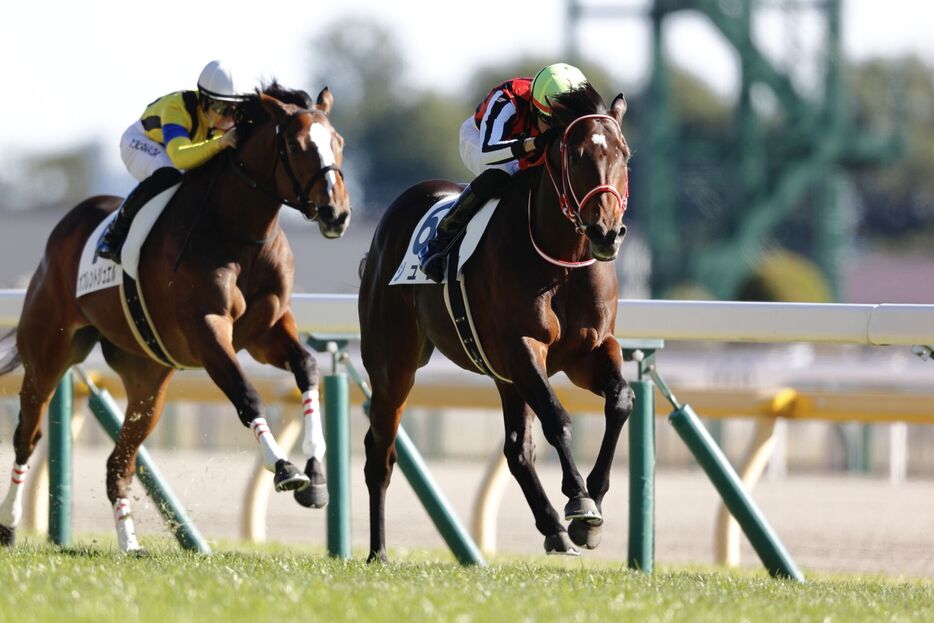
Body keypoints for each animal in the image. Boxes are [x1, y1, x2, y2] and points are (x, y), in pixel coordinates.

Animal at [0, 81, 352, 552]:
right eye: (296, 146)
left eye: (339, 143)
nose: (337, 213)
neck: (240, 233)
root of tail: (64, 228)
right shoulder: (207, 329)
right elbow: (247, 395)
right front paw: (284, 468)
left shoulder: (265, 332)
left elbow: (308, 367)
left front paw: (315, 478)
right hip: (49, 353)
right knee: (27, 435)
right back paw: (9, 523)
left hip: (148, 384)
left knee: (118, 464)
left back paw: (130, 544)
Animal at [358, 85, 636, 564]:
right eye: (576, 155)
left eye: (625, 154)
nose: (606, 232)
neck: (562, 260)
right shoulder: (523, 346)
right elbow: (558, 419)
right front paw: (579, 500)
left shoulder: (590, 351)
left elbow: (620, 401)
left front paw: (592, 506)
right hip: (394, 364)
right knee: (381, 452)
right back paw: (379, 552)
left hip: (505, 377)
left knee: (517, 449)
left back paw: (553, 528)